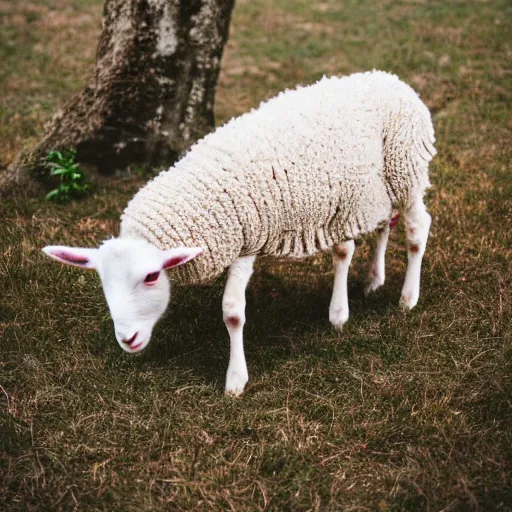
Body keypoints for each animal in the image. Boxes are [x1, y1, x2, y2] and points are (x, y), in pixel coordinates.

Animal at [43, 69, 436, 396]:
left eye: (152, 276)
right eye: (102, 281)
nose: (128, 340)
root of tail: (391, 78)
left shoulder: (246, 243)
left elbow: (232, 312)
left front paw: (235, 380)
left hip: (406, 170)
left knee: (416, 229)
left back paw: (406, 298)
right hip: (378, 188)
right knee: (382, 226)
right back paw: (371, 281)